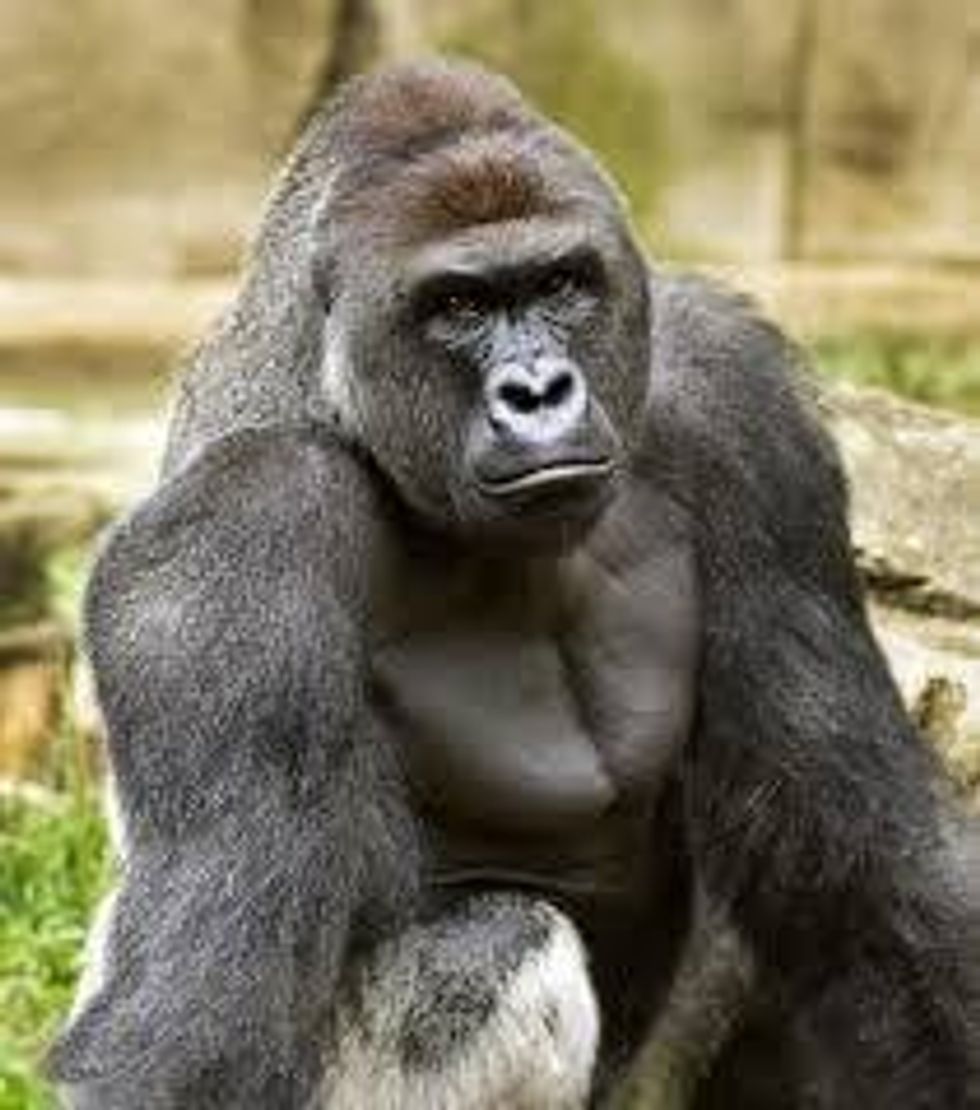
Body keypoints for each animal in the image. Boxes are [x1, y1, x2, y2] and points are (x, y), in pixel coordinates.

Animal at [51, 60, 979, 1108]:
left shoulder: (736, 401)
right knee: (498, 946)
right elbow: (202, 1028)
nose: (538, 392)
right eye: (457, 308)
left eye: (562, 284)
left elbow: (870, 871)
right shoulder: (236, 534)